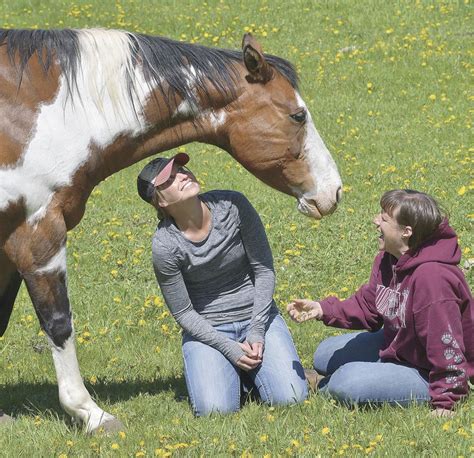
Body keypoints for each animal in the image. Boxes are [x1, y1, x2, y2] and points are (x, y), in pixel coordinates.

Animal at [0, 29, 340, 432]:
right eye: (297, 115)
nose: (334, 191)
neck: (42, 114)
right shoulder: (38, 233)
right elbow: (58, 323)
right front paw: (90, 413)